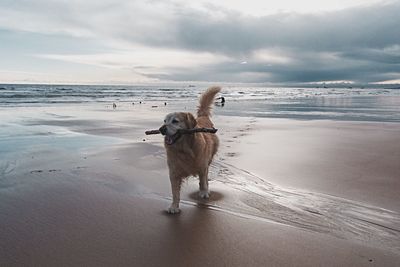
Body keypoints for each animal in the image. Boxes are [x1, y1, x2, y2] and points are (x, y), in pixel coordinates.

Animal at [159, 87, 220, 215]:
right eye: (164, 121)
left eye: (175, 121)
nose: (161, 129)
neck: (184, 149)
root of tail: (202, 116)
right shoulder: (174, 172)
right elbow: (175, 193)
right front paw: (174, 206)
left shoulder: (202, 166)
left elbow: (203, 181)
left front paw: (204, 193)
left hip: (208, 160)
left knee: (205, 177)